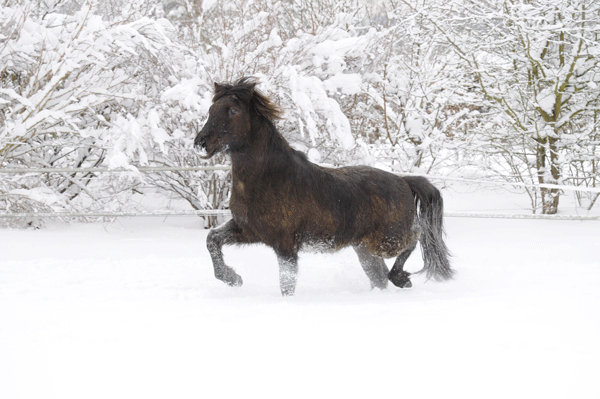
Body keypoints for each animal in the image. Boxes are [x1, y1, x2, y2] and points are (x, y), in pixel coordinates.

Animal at [195, 79, 452, 296]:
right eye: (210, 110)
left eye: (233, 110)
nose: (200, 143)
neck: (268, 178)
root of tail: (404, 181)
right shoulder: (247, 230)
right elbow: (211, 239)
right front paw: (232, 278)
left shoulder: (286, 245)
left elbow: (287, 284)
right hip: (366, 249)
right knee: (379, 277)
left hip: (389, 239)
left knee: (416, 239)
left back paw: (401, 278)